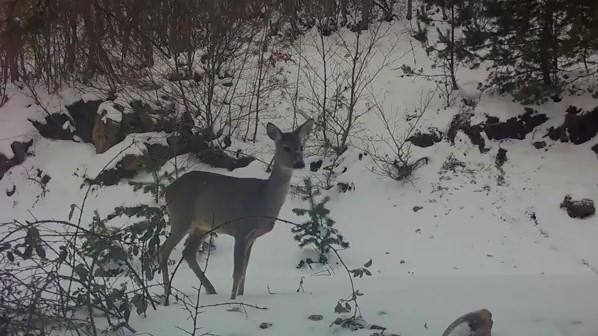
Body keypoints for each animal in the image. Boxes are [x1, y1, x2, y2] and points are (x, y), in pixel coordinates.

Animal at [159, 119, 318, 304]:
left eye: (301, 146)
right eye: (285, 147)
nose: (299, 163)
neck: (264, 198)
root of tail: (168, 189)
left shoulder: (252, 237)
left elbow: (245, 270)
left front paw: (241, 296)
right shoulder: (241, 229)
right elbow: (237, 271)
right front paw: (232, 299)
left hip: (202, 225)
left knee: (188, 252)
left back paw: (210, 290)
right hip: (181, 216)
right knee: (164, 249)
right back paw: (167, 295)